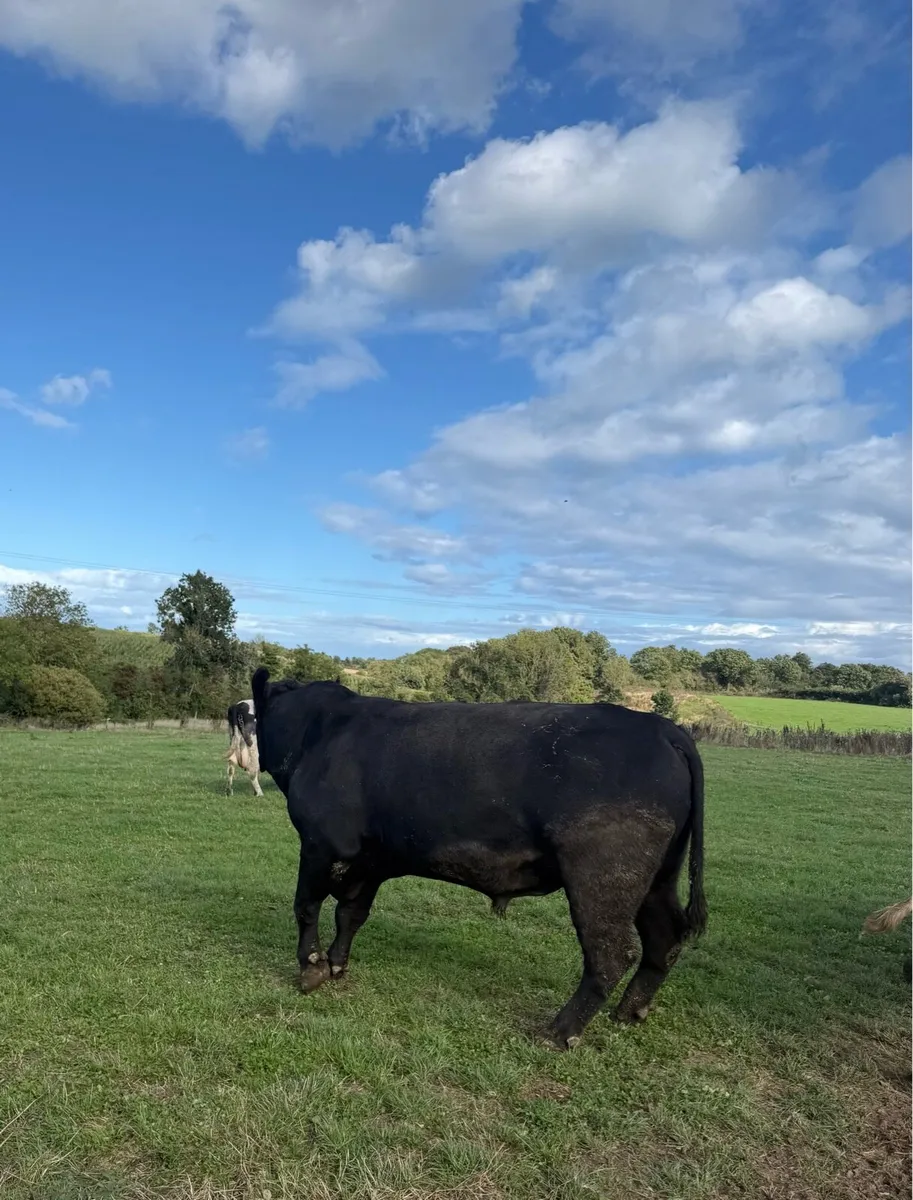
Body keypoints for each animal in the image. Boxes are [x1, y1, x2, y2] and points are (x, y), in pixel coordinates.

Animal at [251, 667, 707, 1049]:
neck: (320, 733)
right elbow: (351, 914)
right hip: (659, 875)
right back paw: (630, 1012)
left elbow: (306, 906)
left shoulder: (320, 844)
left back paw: (559, 1032)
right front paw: (336, 966)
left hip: (604, 875)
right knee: (665, 937)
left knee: (612, 953)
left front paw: (310, 970)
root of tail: (663, 728)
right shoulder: (370, 861)